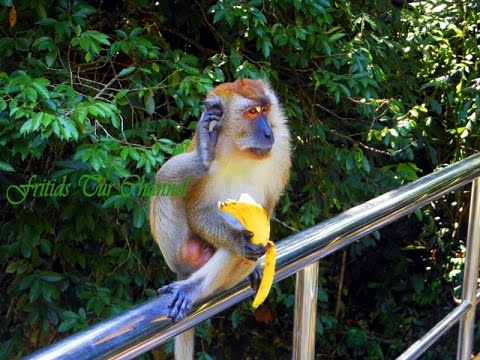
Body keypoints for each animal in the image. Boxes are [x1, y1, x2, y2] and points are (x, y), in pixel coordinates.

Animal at [150, 78, 290, 358]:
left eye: (266, 109)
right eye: (252, 112)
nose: (268, 133)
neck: (240, 150)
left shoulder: (281, 149)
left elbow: (264, 215)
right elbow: (198, 210)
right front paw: (237, 239)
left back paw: (195, 288)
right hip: (181, 254)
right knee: (165, 179)